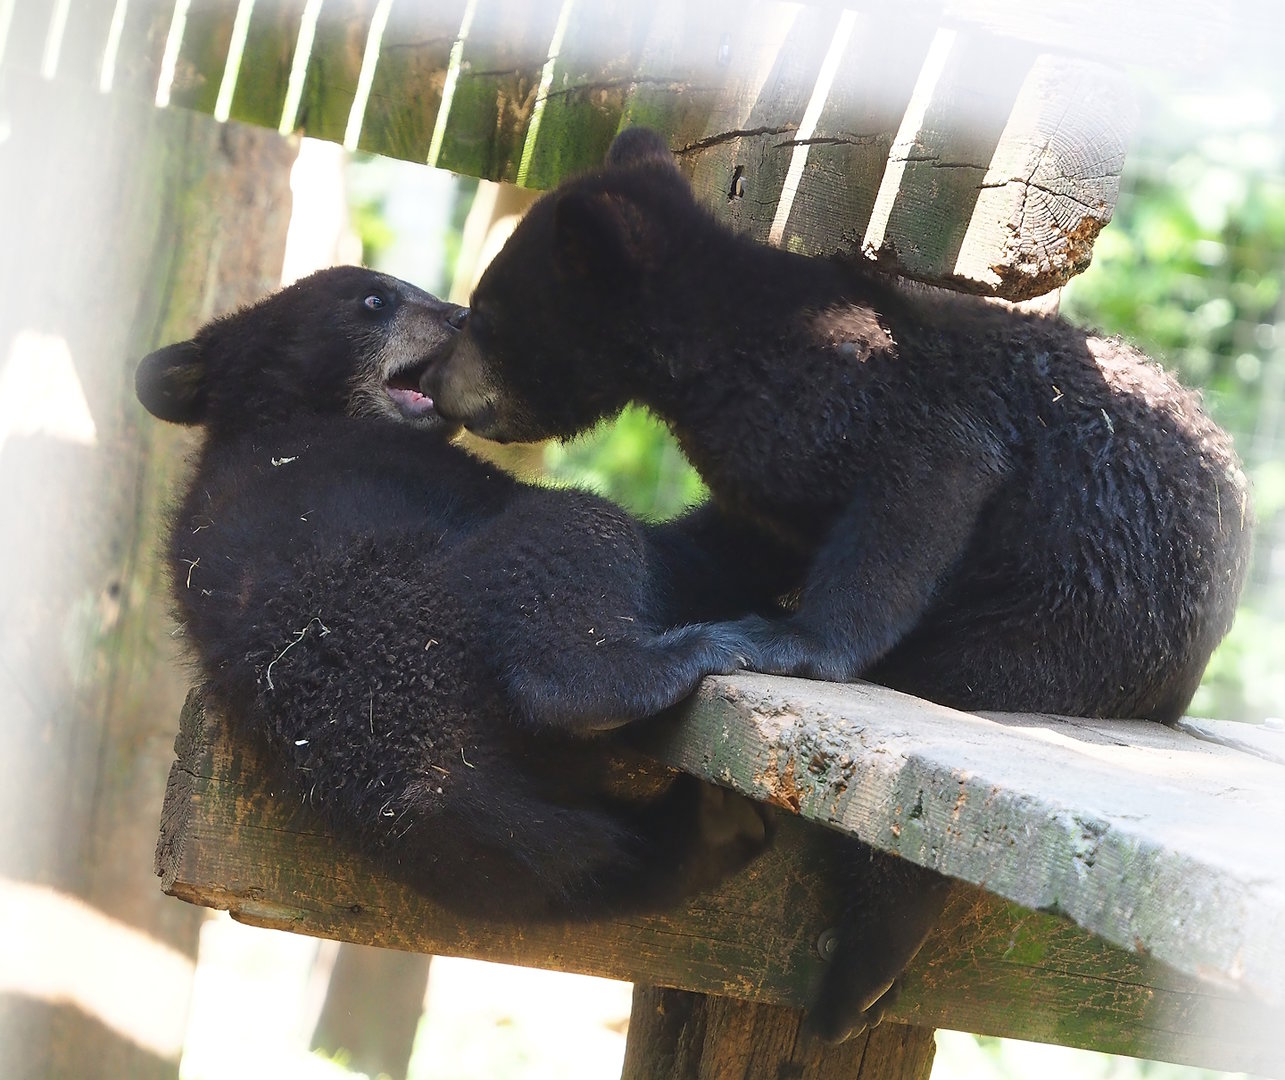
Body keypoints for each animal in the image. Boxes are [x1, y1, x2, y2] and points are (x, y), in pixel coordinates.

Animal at [135, 265, 780, 924]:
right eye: (376, 300)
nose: (460, 316)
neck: (282, 411)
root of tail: (427, 775)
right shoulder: (411, 465)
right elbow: (675, 552)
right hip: (453, 615)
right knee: (573, 560)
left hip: (470, 847)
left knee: (582, 868)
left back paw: (717, 827)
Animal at [419, 126, 1254, 1037]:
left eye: (483, 314)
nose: (429, 382)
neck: (711, 348)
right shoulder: (766, 471)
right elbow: (744, 534)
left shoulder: (856, 395)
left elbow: (926, 479)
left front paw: (791, 640)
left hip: (1073, 627)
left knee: (954, 713)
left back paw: (859, 975)